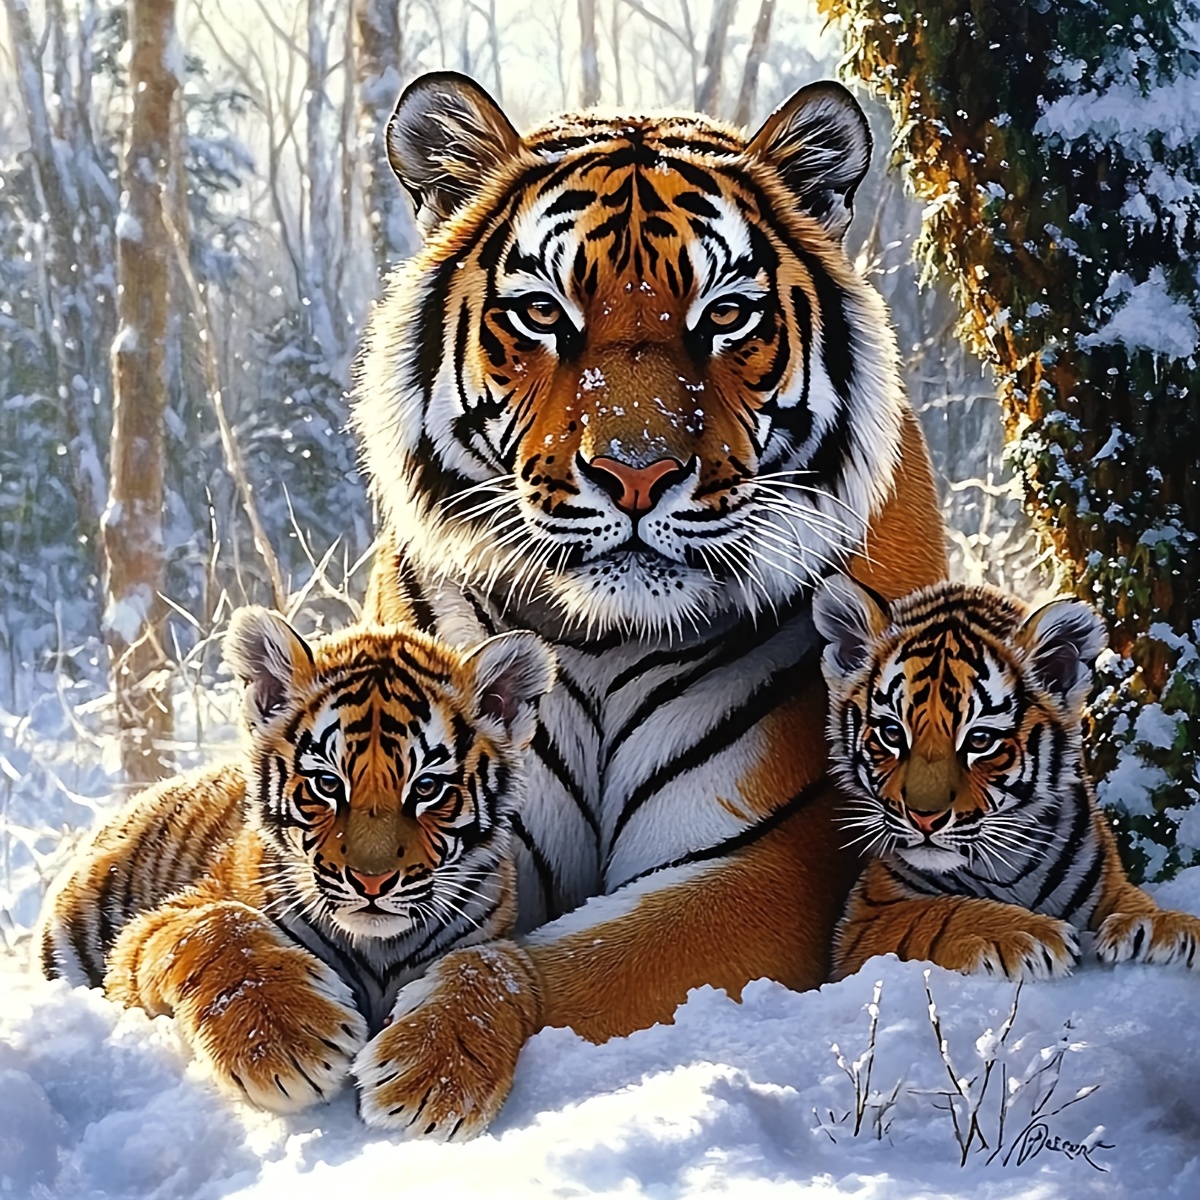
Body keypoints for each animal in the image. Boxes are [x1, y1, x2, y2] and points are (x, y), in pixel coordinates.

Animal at [37, 606, 555, 1117]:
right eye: (327, 784)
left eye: (426, 788)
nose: (372, 882)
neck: (378, 951)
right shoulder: (155, 927)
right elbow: (219, 926)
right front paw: (285, 1040)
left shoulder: (497, 938)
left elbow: (487, 968)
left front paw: (437, 1077)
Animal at [339, 68, 949, 1139]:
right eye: (543, 314)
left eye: (727, 314)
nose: (635, 474)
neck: (597, 642)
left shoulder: (762, 866)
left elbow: (560, 958)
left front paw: (430, 1061)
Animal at [811, 575, 1200, 982]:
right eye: (891, 733)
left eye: (980, 740)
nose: (924, 819)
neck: (1007, 866)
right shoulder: (864, 922)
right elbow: (937, 912)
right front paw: (1028, 933)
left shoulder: (1107, 883)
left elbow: (1134, 900)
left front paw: (1160, 928)